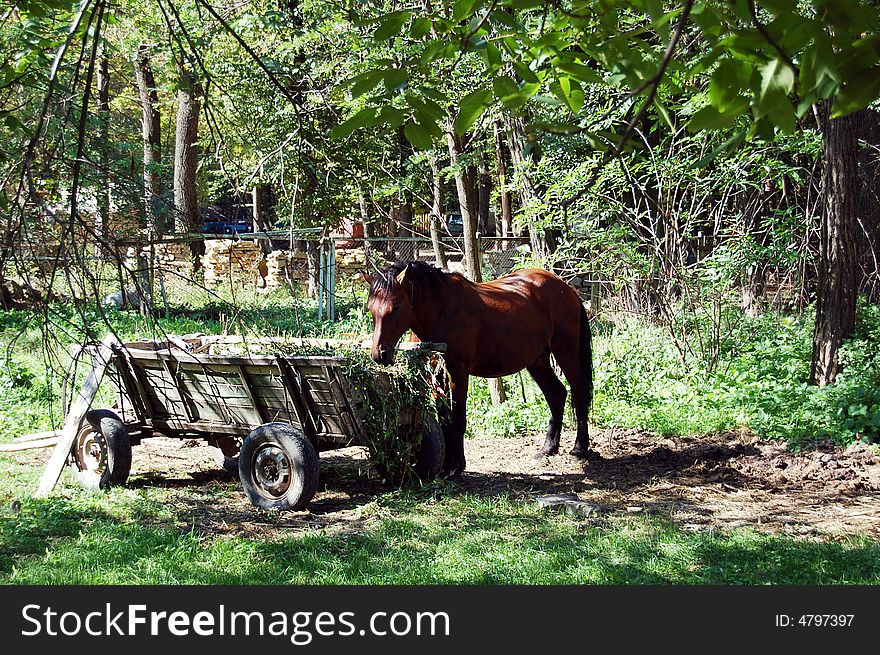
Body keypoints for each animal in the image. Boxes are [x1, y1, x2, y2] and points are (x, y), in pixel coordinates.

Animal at [360, 258, 596, 480]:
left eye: (397, 306)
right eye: (371, 309)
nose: (380, 354)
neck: (442, 310)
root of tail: (565, 288)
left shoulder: (458, 372)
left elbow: (458, 419)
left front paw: (456, 466)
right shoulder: (436, 373)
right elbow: (444, 418)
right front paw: (445, 466)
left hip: (565, 353)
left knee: (579, 392)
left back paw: (579, 449)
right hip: (537, 361)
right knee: (557, 394)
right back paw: (548, 448)